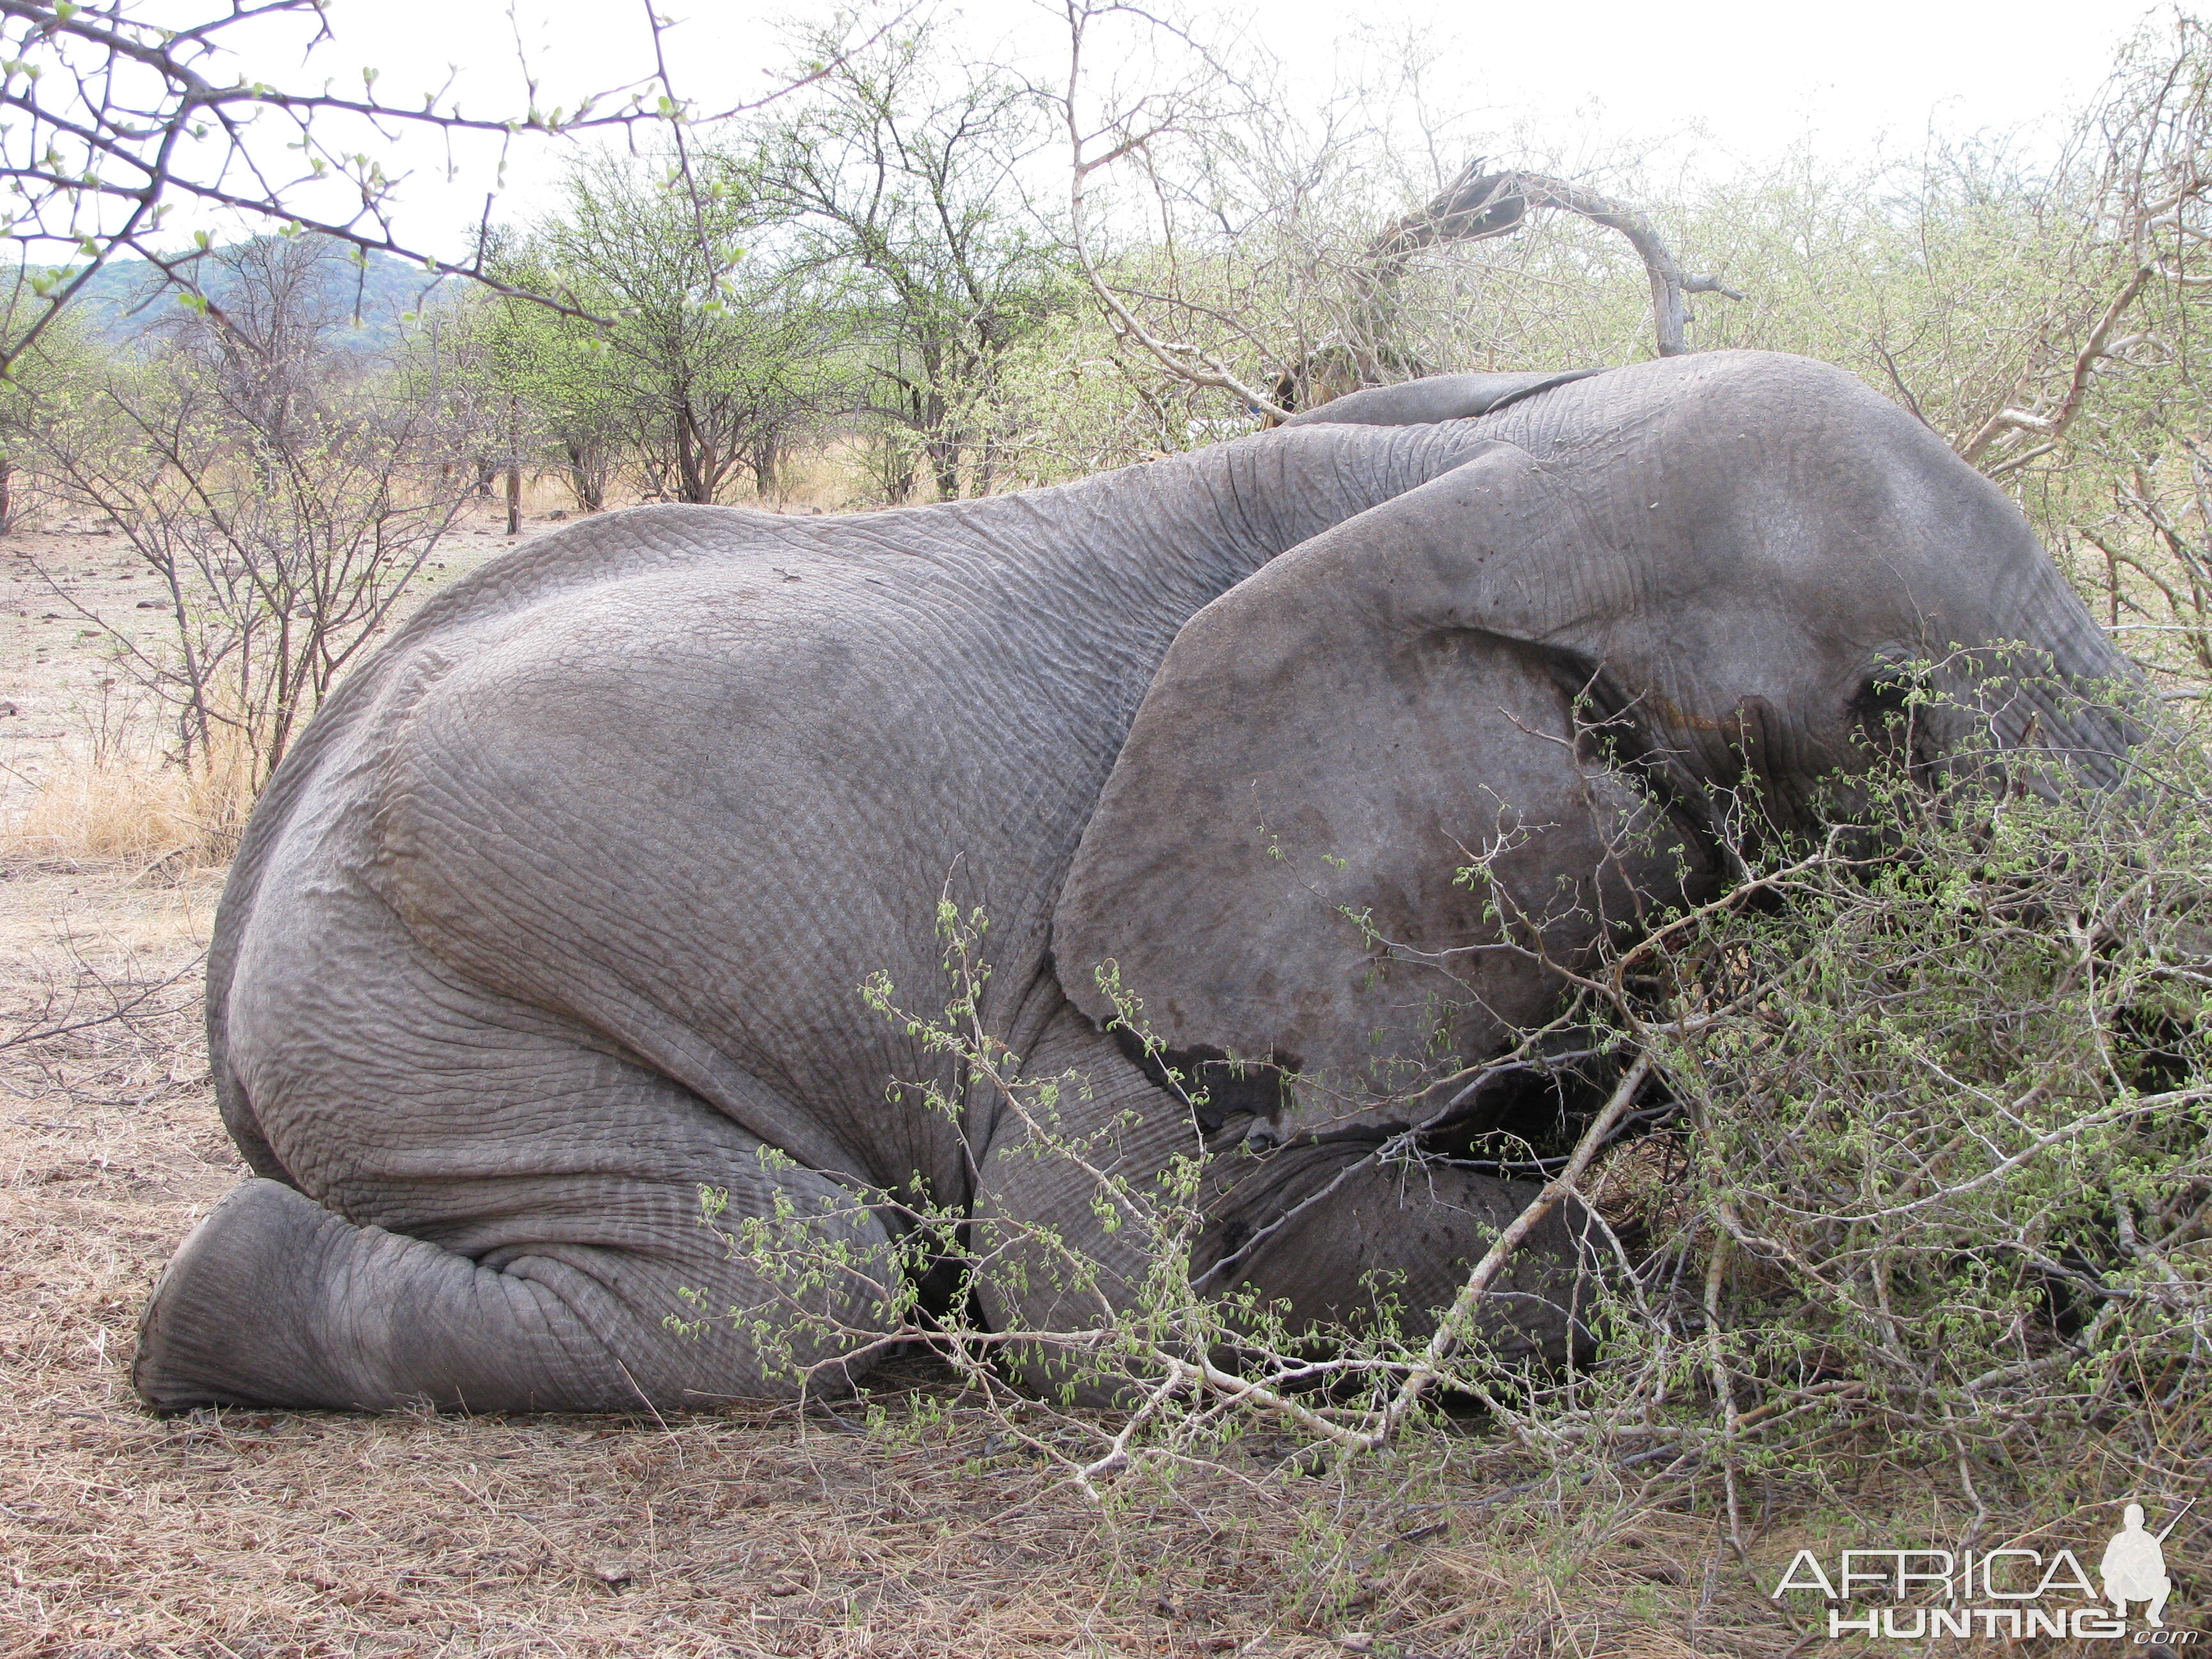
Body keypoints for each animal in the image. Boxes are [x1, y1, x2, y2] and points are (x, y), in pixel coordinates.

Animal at [129, 351, 2132, 1415]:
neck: (1492, 458)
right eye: (1885, 710)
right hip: (412, 989)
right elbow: (1087, 1289)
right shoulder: (1110, 981)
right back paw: (185, 1331)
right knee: (780, 1287)